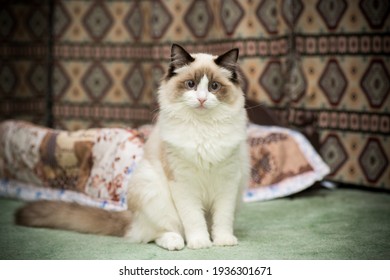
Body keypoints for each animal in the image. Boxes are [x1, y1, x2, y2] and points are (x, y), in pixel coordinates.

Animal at [15, 44, 250, 252]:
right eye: (191, 84)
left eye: (214, 87)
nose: (201, 99)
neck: (203, 130)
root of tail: (132, 217)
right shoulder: (183, 183)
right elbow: (194, 220)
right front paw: (201, 243)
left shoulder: (228, 182)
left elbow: (222, 219)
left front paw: (222, 241)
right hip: (154, 191)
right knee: (158, 233)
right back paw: (175, 243)